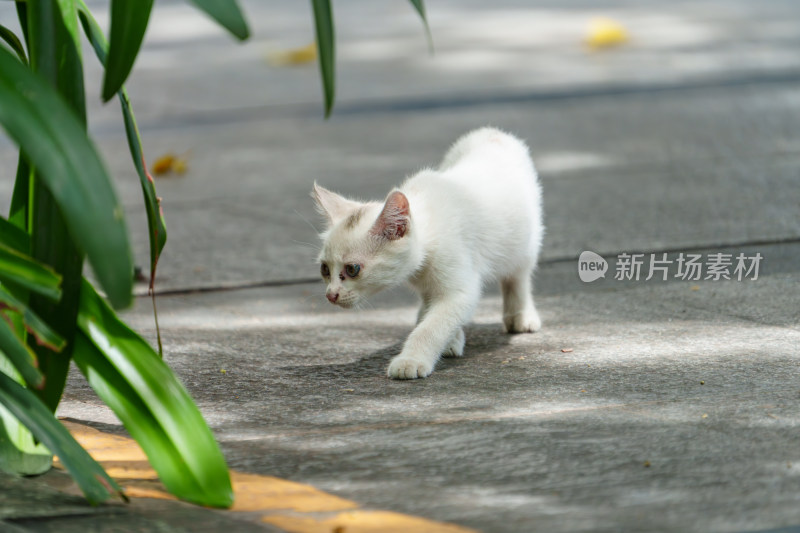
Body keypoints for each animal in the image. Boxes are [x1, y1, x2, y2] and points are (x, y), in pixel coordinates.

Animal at [312, 127, 544, 378]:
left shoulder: (459, 286)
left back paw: (520, 315)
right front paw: (450, 338)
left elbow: (433, 325)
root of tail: (491, 132)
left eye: (352, 269)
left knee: (519, 273)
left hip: (525, 239)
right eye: (324, 269)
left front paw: (411, 360)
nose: (331, 295)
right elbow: (434, 311)